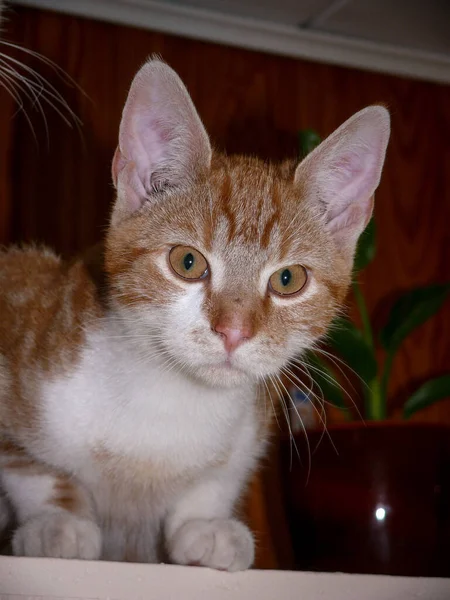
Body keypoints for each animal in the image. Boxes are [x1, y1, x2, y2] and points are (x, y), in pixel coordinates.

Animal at [0, 58, 390, 568]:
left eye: (289, 280)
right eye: (187, 262)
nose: (234, 330)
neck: (172, 395)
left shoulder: (249, 430)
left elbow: (216, 479)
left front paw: (202, 524)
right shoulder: (23, 294)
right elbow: (30, 467)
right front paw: (58, 521)